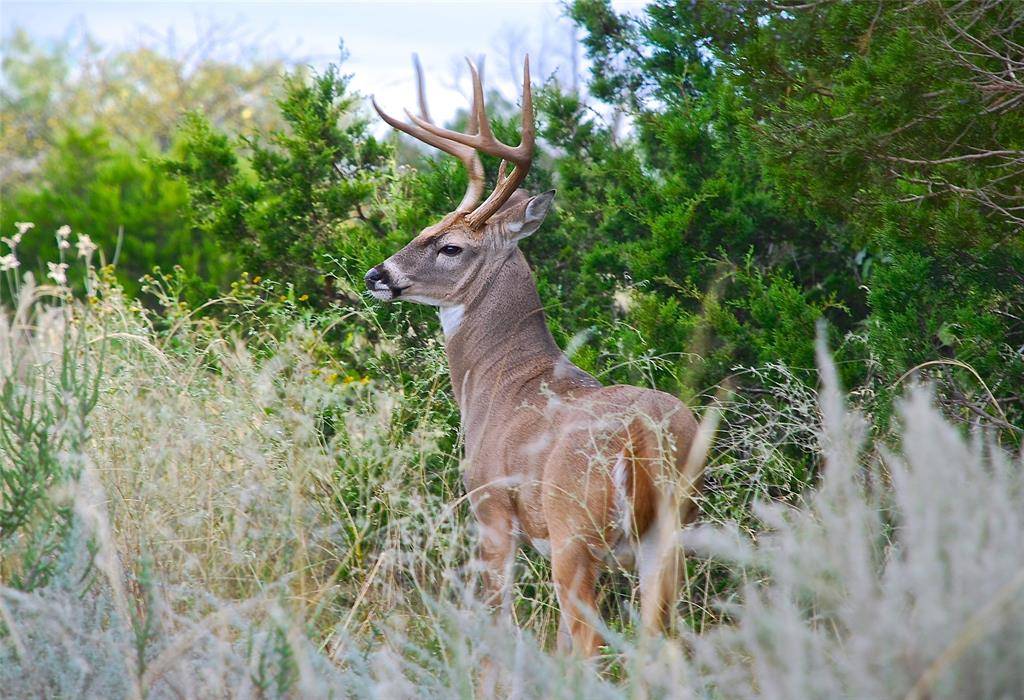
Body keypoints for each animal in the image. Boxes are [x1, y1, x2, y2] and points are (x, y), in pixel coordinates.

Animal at [366, 54, 704, 654]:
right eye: (425, 228)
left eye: (450, 246)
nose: (376, 275)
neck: (501, 376)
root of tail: (642, 436)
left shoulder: (492, 510)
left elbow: (498, 628)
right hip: (671, 531)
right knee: (661, 638)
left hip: (574, 532)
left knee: (591, 639)